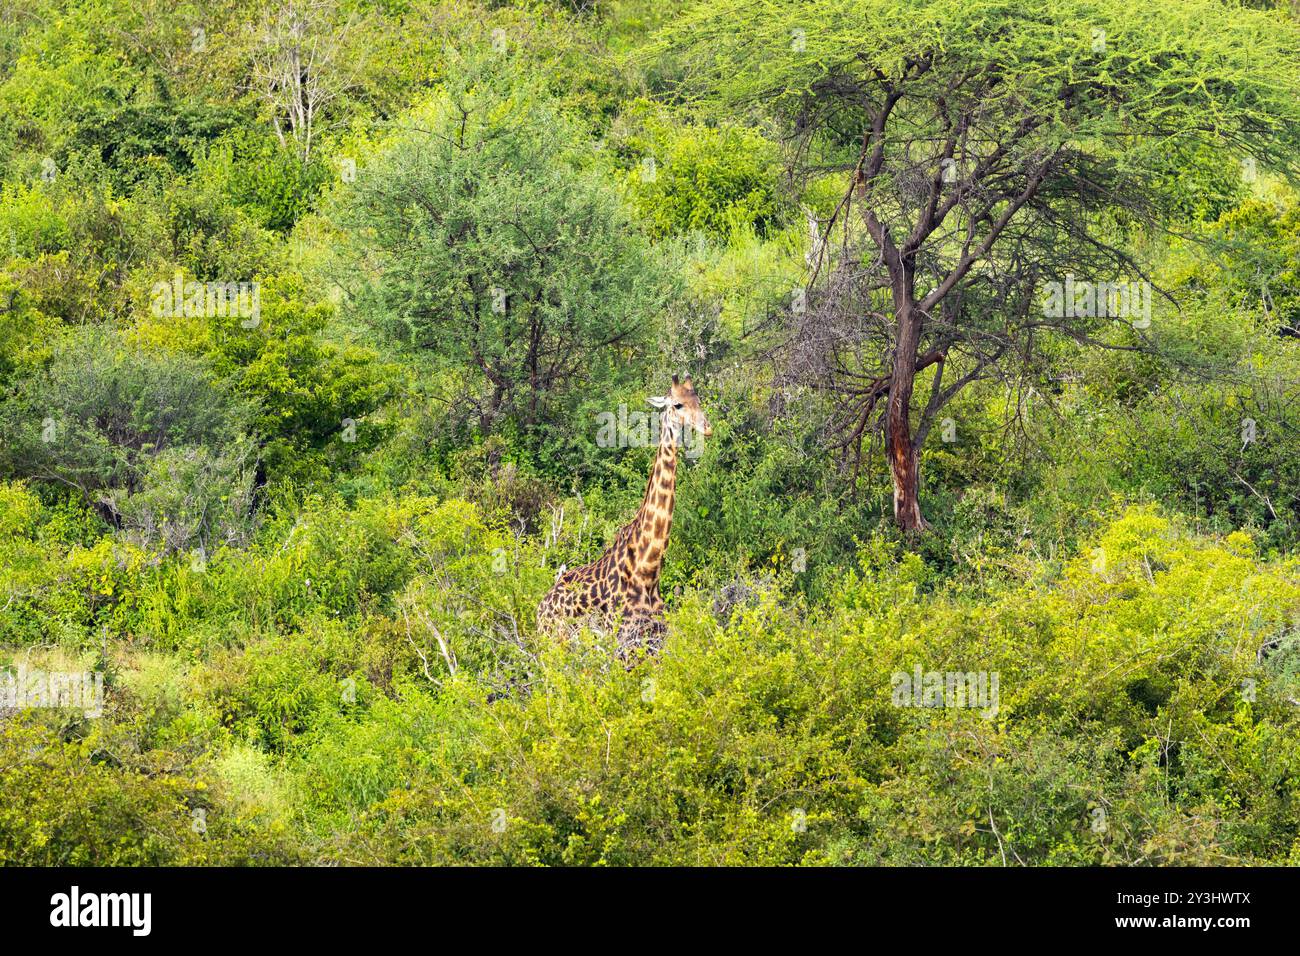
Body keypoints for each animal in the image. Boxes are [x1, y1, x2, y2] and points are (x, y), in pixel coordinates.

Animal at [537, 374, 712, 662]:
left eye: (699, 399)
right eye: (677, 405)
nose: (707, 428)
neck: (648, 570)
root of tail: (540, 608)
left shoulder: (655, 642)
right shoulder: (618, 642)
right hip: (553, 644)